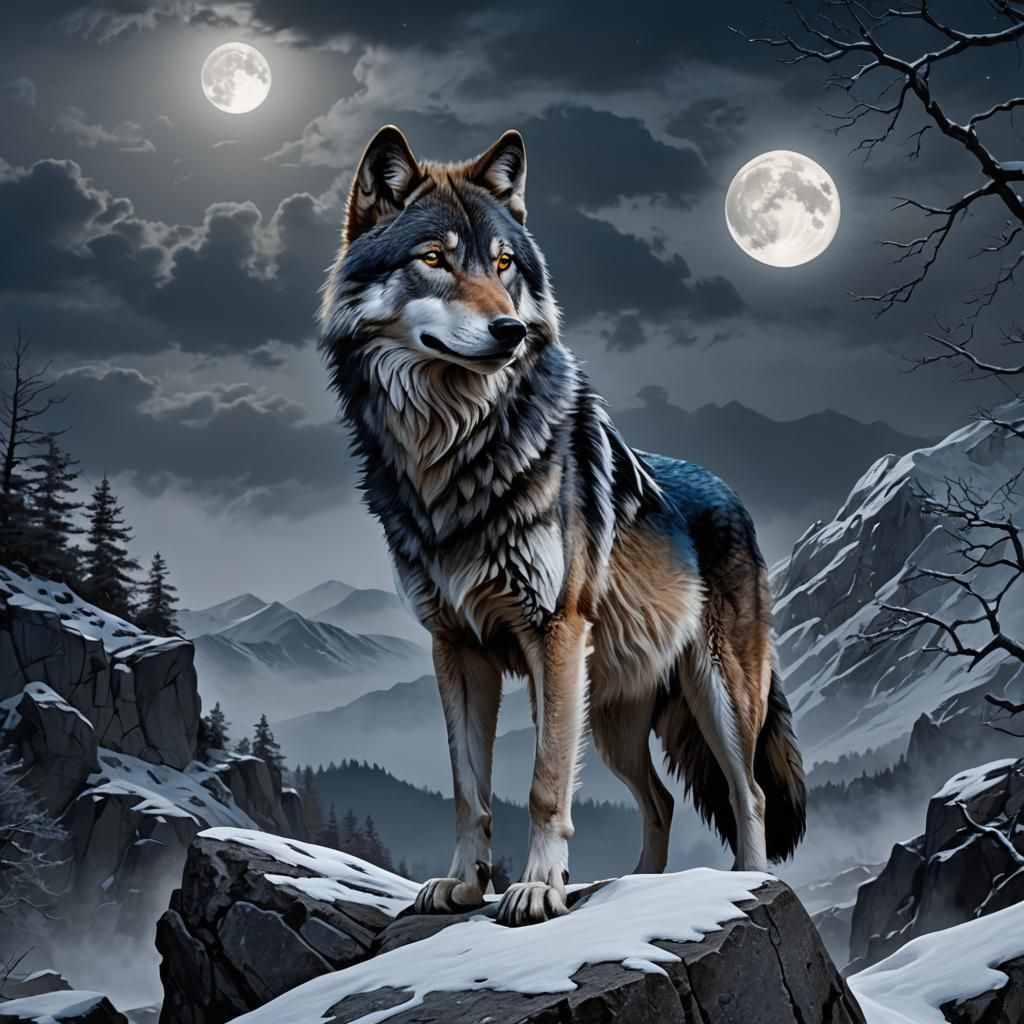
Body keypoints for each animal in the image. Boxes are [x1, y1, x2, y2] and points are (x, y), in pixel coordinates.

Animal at [319, 125, 806, 927]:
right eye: (434, 259)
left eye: (503, 264)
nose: (510, 329)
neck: (452, 449)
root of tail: (732, 495)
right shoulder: (456, 646)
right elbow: (468, 789)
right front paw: (463, 885)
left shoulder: (553, 628)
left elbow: (545, 782)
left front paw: (537, 888)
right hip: (607, 716)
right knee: (661, 801)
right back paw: (638, 886)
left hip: (715, 696)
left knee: (752, 794)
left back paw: (749, 883)